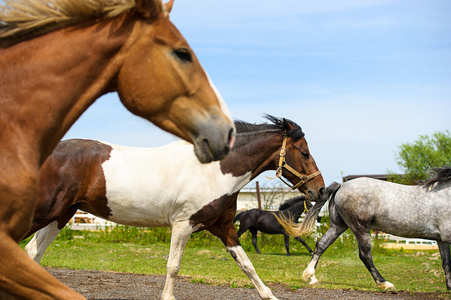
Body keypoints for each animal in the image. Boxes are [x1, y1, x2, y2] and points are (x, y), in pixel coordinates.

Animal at [25, 115, 324, 300]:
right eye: (305, 152)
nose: (319, 190)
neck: (214, 171)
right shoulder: (183, 224)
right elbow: (173, 266)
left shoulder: (224, 228)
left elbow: (247, 264)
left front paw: (269, 293)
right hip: (45, 212)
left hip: (61, 215)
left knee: (33, 252)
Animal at [278, 166, 451, 290]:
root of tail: (341, 185)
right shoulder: (447, 237)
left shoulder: (441, 240)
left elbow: (446, 263)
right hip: (360, 227)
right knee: (365, 255)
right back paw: (385, 284)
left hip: (339, 226)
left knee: (321, 244)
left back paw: (310, 277)